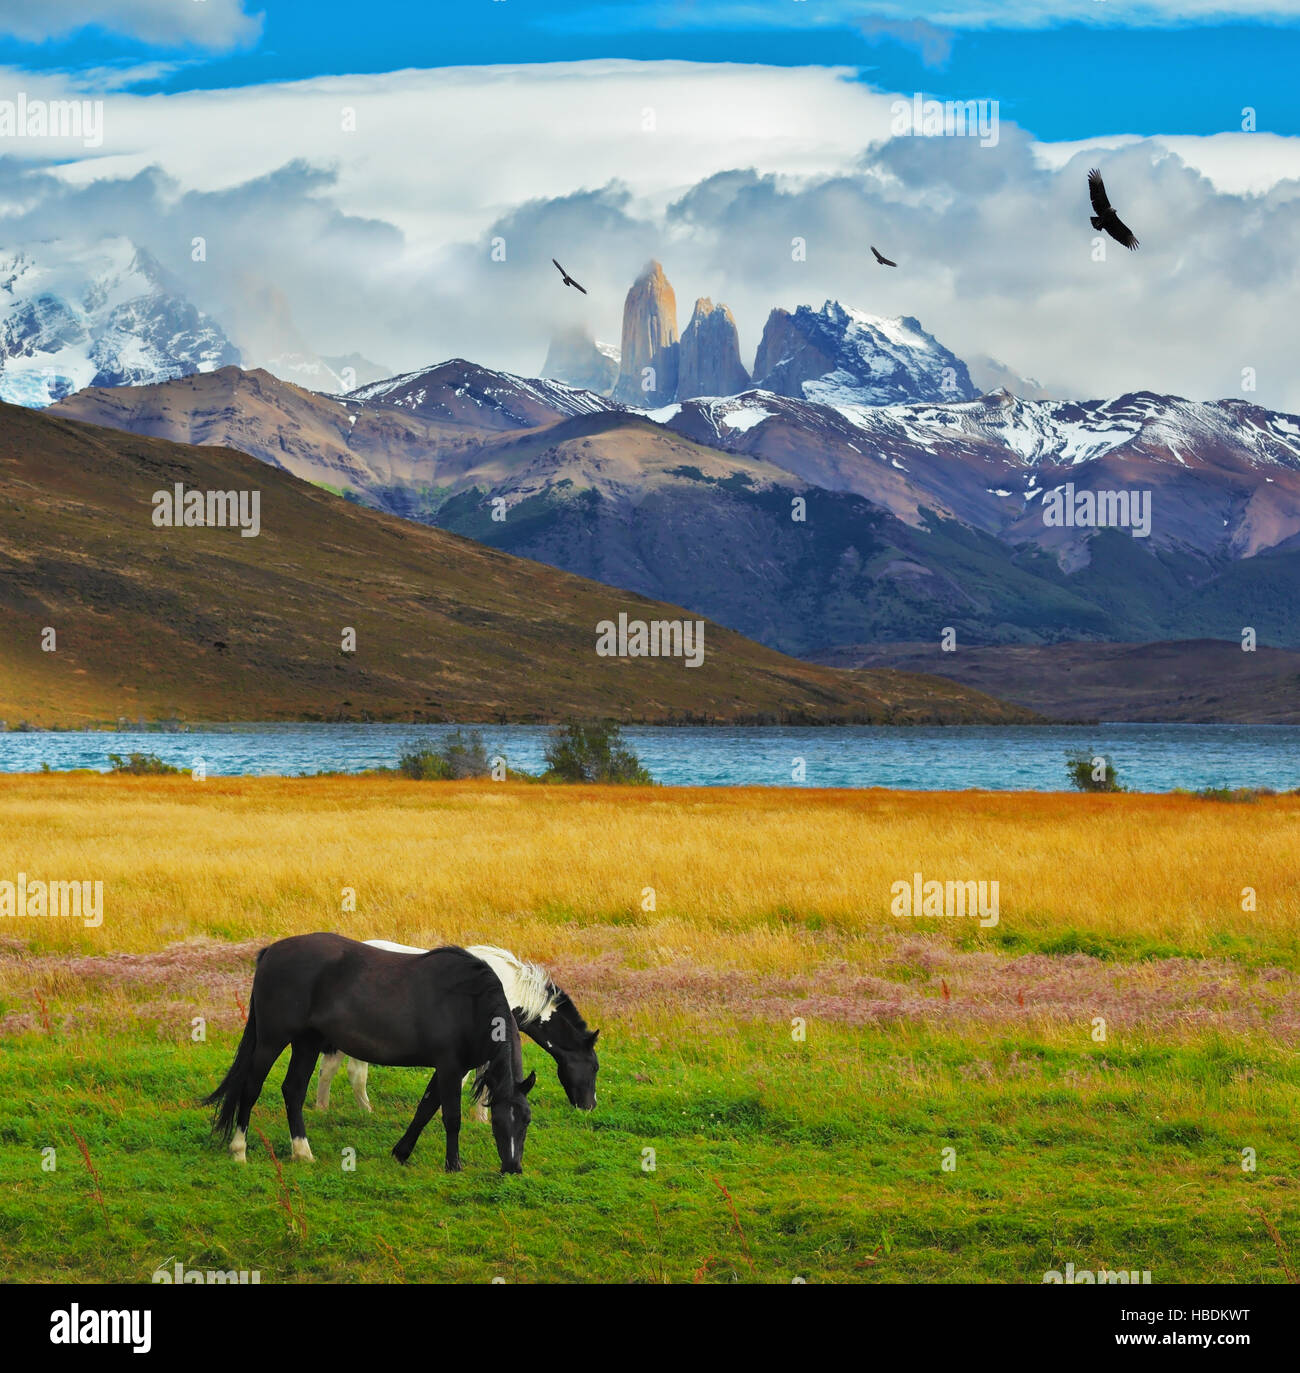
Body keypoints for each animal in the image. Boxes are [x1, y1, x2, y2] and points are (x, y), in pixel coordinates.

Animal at [201, 939, 532, 1175]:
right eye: (498, 1121)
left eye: (526, 1120)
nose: (513, 1168)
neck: (470, 1002)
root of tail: (271, 951)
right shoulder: (450, 1067)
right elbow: (451, 1117)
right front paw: (453, 1165)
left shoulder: (451, 1069)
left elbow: (425, 1109)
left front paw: (401, 1151)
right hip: (272, 1040)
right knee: (251, 1089)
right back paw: (239, 1150)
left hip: (307, 1043)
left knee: (293, 1091)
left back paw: (302, 1152)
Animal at [315, 939, 598, 1120]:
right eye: (594, 1068)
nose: (589, 1107)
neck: (507, 989)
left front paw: (480, 1117)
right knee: (354, 1072)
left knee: (330, 1069)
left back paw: (324, 1109)